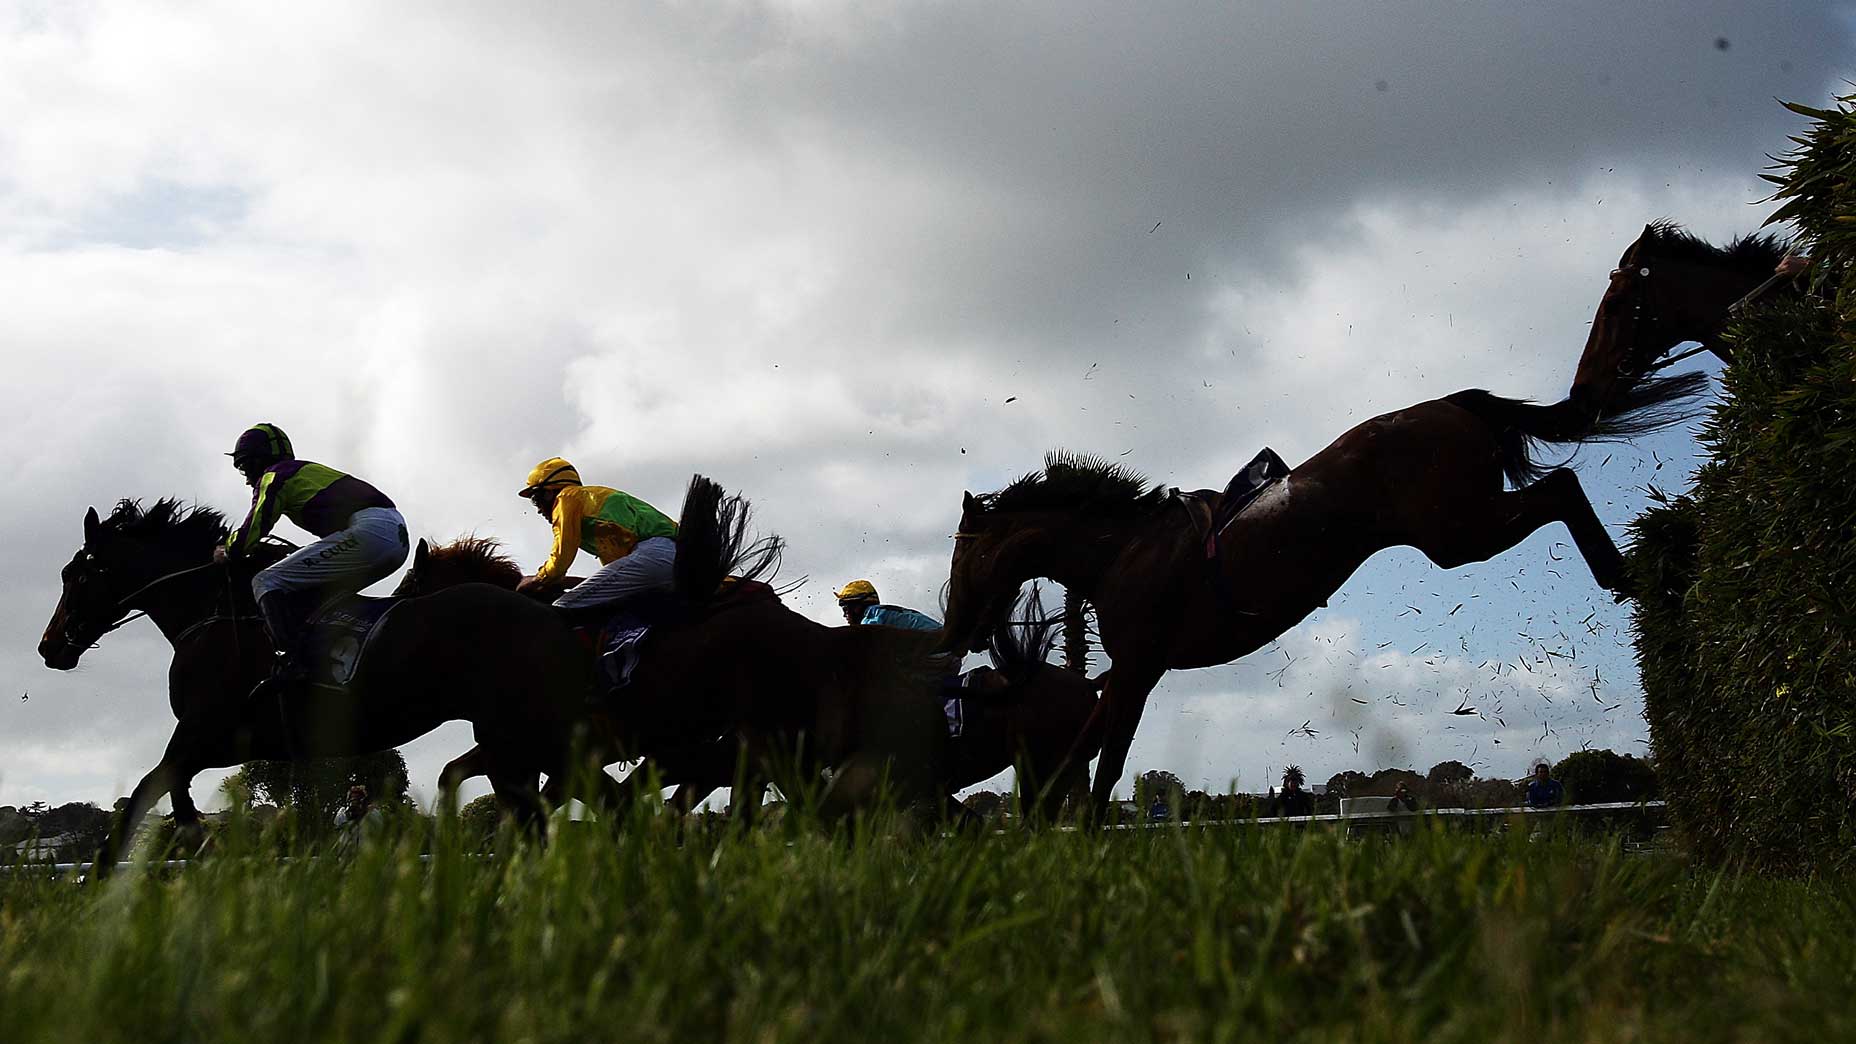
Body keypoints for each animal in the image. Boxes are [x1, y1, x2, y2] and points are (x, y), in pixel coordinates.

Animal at [39, 501, 590, 865]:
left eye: (75, 575)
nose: (48, 647)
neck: (217, 615)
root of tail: (550, 612)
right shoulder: (214, 743)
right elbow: (169, 793)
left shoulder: (205, 733)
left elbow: (144, 797)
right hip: (517, 739)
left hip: (523, 734)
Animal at [950, 373, 1700, 813]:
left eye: (960, 558)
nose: (956, 631)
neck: (1120, 551)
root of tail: (1450, 404)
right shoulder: (1132, 674)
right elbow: (1081, 749)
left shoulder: (1138, 668)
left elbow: (1104, 766)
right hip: (1463, 527)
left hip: (1460, 531)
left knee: (1561, 489)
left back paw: (1624, 574)